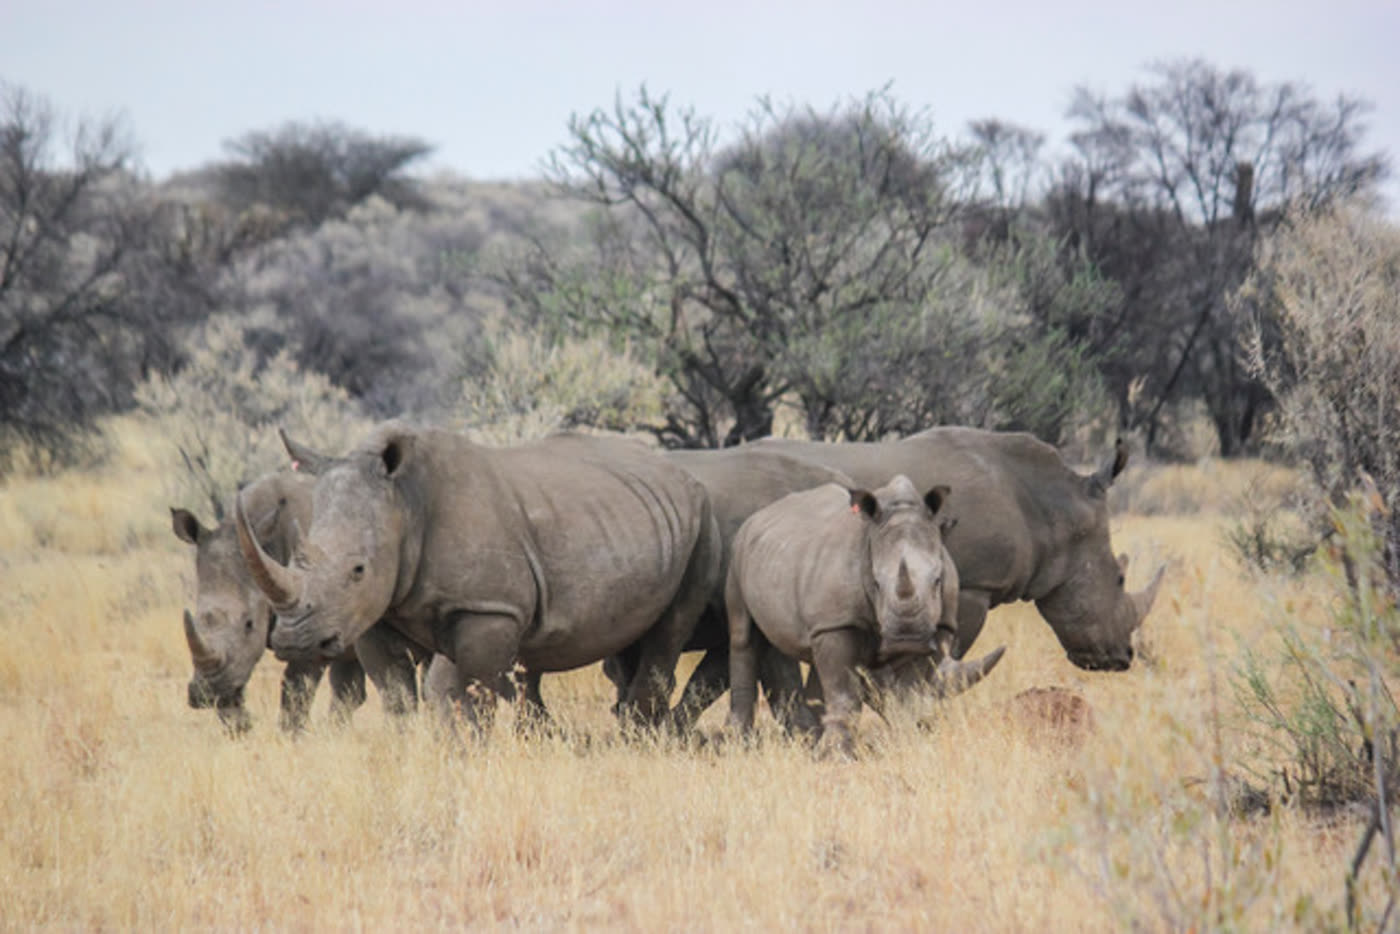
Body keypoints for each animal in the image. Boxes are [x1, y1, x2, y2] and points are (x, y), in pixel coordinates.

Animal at [172, 470, 426, 734]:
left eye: (250, 624)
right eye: (198, 619)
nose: (204, 693)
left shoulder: (308, 628)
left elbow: (295, 691)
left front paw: (290, 737)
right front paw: (240, 729)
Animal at [237, 423, 722, 731]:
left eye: (358, 570)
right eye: (298, 561)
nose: (294, 641)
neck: (404, 504)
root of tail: (680, 473)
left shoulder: (487, 609)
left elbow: (467, 691)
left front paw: (469, 753)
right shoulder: (376, 612)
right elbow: (397, 695)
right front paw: (406, 752)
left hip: (703, 518)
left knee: (667, 633)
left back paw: (640, 740)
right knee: (628, 642)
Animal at [726, 475, 1001, 756]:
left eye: (937, 580)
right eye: (876, 583)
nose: (907, 638)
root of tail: (759, 515)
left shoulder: (935, 629)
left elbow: (910, 694)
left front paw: (910, 745)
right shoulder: (837, 623)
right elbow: (845, 694)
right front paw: (839, 756)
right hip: (737, 553)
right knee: (743, 637)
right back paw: (738, 744)